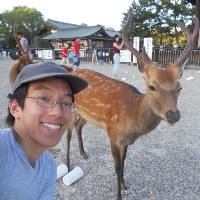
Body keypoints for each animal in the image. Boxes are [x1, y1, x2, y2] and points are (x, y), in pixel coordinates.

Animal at [65, 7, 198, 200]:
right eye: (151, 87)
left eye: (180, 87)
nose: (173, 114)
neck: (131, 119)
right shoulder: (113, 135)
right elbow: (116, 167)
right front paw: (118, 194)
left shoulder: (126, 141)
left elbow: (124, 162)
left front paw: (125, 184)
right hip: (69, 108)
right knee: (67, 134)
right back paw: (67, 165)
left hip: (85, 115)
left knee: (78, 126)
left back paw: (83, 153)